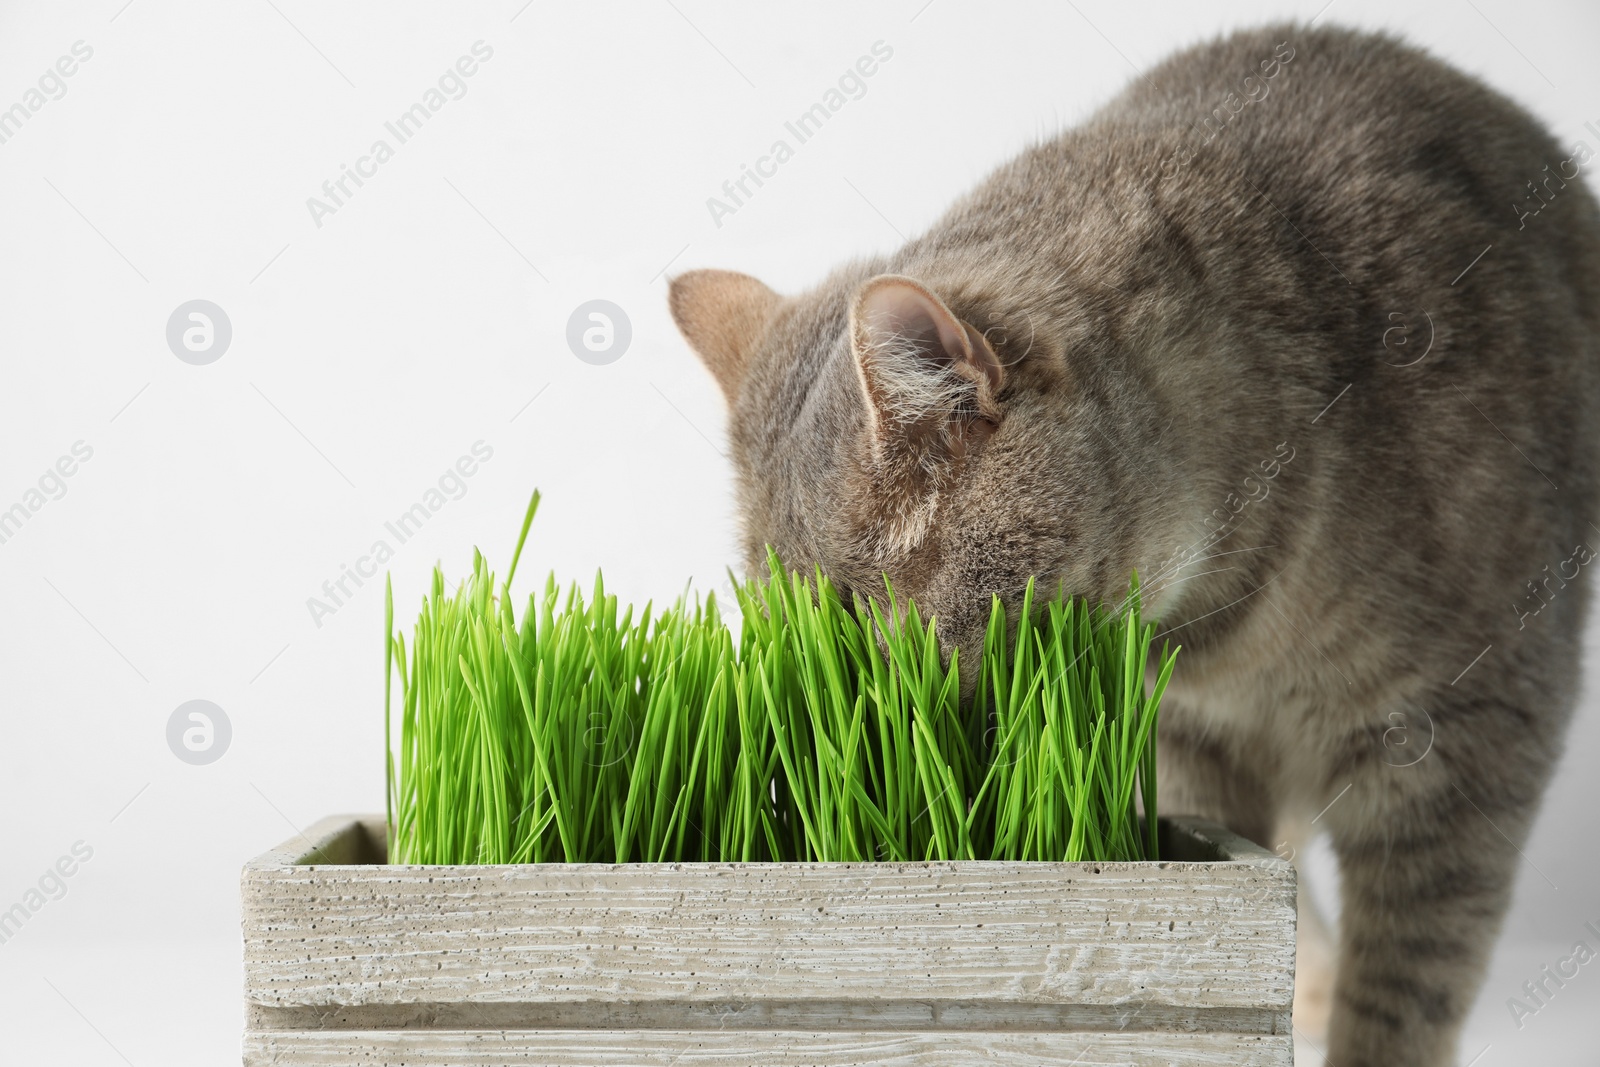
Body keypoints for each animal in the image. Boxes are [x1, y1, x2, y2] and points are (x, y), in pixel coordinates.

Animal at [665, 18, 1600, 1067]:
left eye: (883, 656)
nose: (860, 735)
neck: (1239, 628)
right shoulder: (1187, 740)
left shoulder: (1471, 731)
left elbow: (1408, 983)